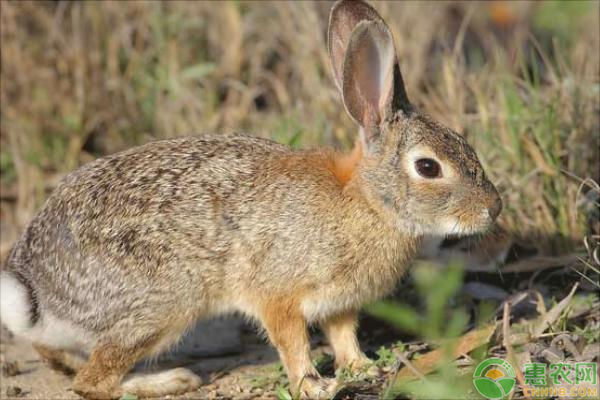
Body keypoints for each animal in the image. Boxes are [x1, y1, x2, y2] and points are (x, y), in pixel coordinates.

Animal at [1, 1, 502, 398]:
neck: (367, 201)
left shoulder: (339, 304)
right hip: (164, 303)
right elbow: (292, 342)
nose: (492, 208)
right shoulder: (278, 293)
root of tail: (37, 289)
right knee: (92, 382)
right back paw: (168, 381)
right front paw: (314, 386)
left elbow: (343, 335)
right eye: (428, 168)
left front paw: (361, 367)